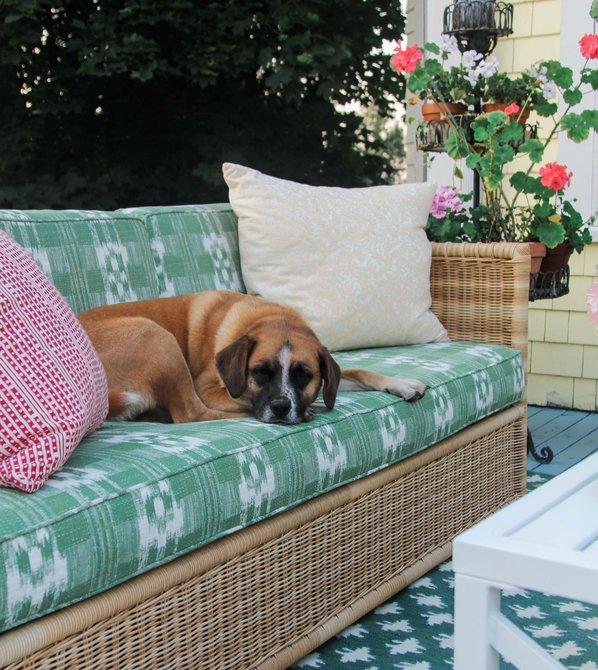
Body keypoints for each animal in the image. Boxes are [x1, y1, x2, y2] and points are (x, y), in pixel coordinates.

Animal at [79, 290, 428, 426]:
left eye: (304, 374)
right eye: (260, 372)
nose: (282, 407)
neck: (272, 319)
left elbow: (360, 371)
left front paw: (402, 383)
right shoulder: (208, 387)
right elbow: (243, 398)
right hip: (156, 336)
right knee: (193, 414)